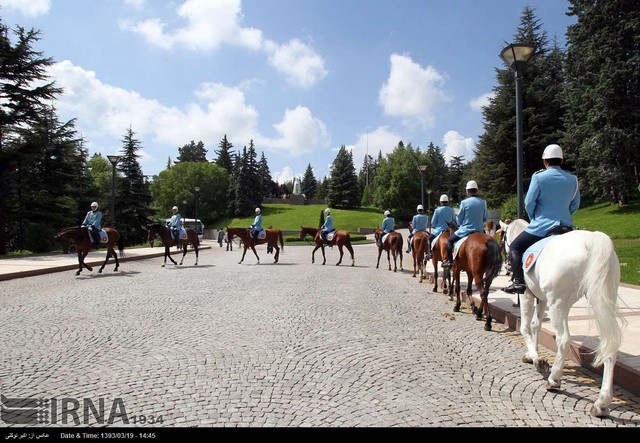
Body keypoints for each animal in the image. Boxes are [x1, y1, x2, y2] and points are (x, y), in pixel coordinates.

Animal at [500, 220, 624, 418]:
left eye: (503, 239)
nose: (507, 267)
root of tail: (592, 240)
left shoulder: (527, 294)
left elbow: (525, 326)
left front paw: (537, 360)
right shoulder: (541, 297)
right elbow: (536, 324)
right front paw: (532, 354)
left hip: (558, 302)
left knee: (564, 339)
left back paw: (554, 379)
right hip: (603, 299)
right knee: (609, 345)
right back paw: (602, 402)